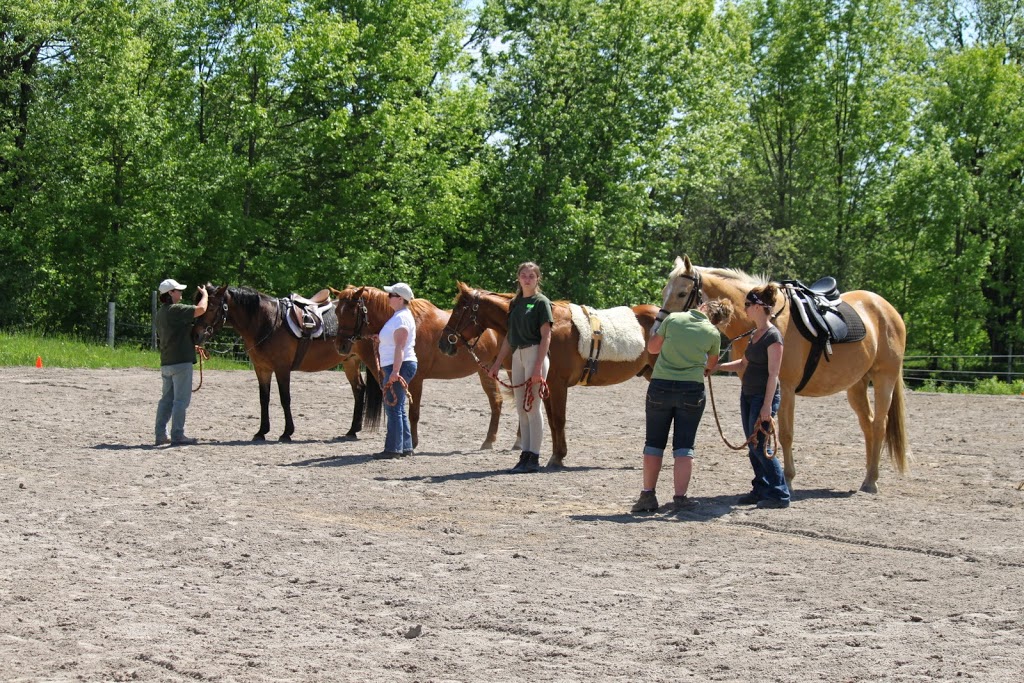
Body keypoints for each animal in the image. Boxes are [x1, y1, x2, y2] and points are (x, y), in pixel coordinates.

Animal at [192, 284, 380, 440]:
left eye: (211, 307)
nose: (196, 334)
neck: (267, 321)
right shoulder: (262, 369)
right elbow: (264, 398)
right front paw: (261, 431)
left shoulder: (282, 369)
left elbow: (285, 398)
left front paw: (287, 432)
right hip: (350, 361)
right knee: (359, 390)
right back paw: (352, 430)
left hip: (369, 359)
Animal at [329, 286, 505, 450]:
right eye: (337, 312)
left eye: (352, 313)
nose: (340, 346)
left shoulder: (416, 380)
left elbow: (413, 413)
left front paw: (412, 443)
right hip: (486, 370)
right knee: (496, 400)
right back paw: (492, 441)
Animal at [436, 280, 659, 466]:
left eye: (459, 310)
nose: (443, 343)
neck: (550, 329)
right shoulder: (547, 385)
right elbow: (551, 421)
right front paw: (556, 454)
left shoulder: (558, 385)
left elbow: (559, 419)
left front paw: (558, 457)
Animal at [659, 255, 909, 491]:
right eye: (664, 291)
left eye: (682, 293)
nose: (660, 326)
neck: (765, 321)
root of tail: (886, 308)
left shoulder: (785, 388)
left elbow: (785, 434)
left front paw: (787, 480)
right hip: (856, 384)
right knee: (868, 424)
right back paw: (868, 474)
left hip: (884, 378)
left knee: (879, 425)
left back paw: (871, 481)